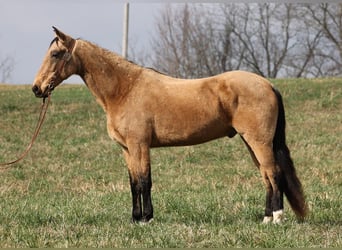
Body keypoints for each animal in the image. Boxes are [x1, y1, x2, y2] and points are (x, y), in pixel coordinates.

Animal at [31, 27, 308, 225]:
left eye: (55, 54)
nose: (37, 88)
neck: (125, 89)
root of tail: (267, 84)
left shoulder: (140, 145)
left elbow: (145, 181)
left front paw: (146, 219)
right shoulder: (127, 150)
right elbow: (133, 183)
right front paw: (135, 219)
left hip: (259, 141)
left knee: (274, 173)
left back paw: (277, 218)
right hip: (251, 142)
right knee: (266, 176)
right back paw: (266, 217)